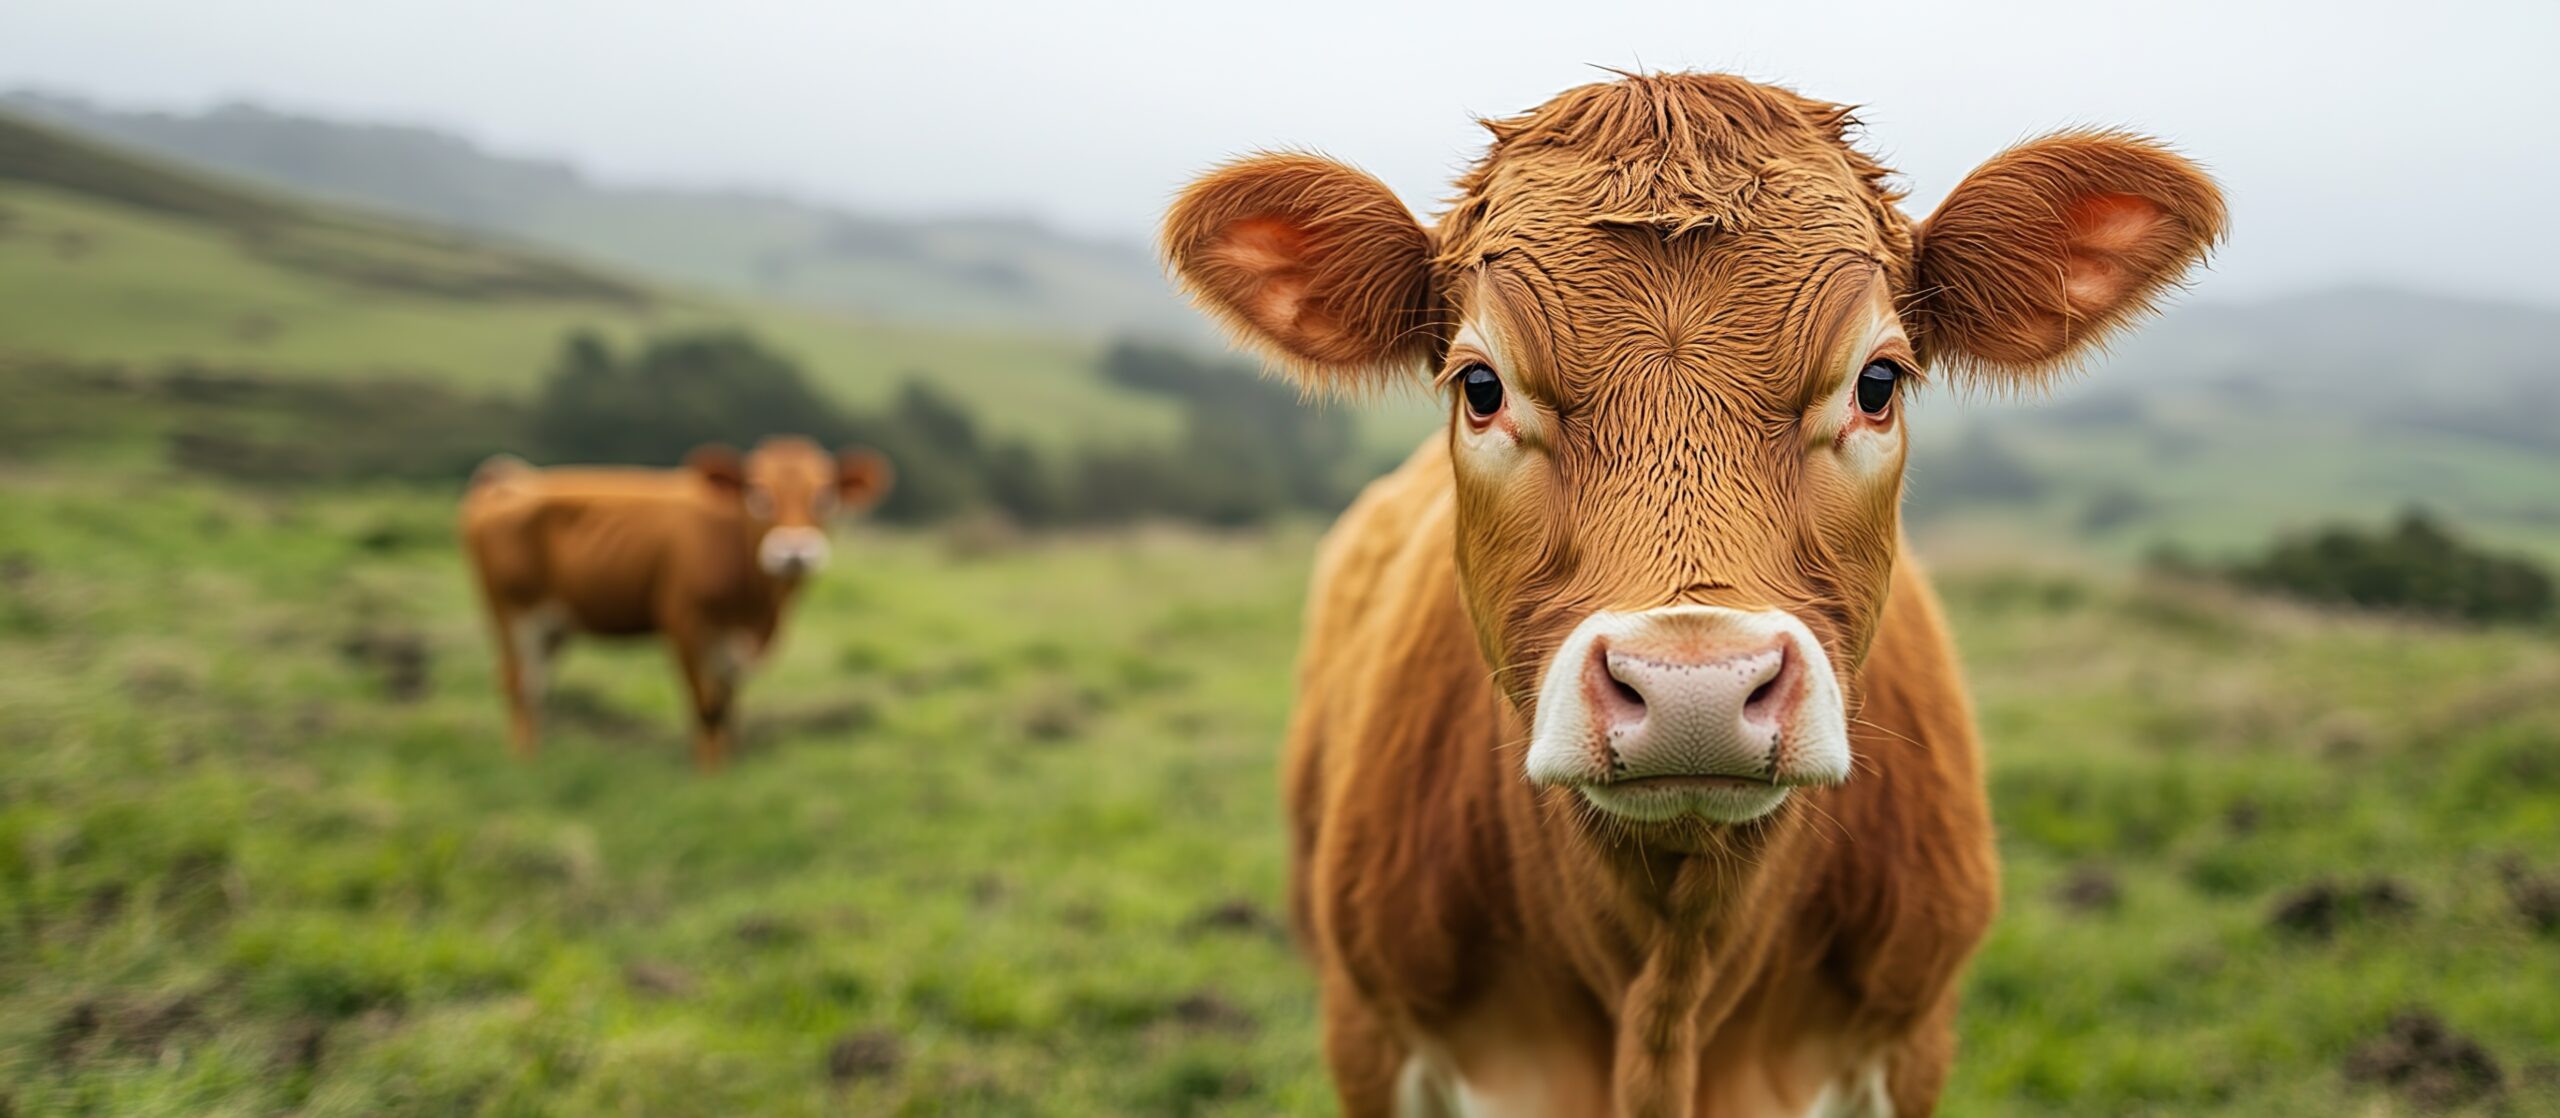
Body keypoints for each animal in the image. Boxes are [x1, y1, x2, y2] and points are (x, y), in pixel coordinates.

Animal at [458, 434, 890, 767]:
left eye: (824, 497)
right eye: (759, 494)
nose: (794, 552)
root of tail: (510, 480)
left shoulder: (735, 644)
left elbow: (727, 710)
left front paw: (725, 774)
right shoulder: (686, 625)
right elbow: (707, 710)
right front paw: (708, 782)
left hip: (554, 623)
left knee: (539, 687)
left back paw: (540, 756)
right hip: (513, 611)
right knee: (520, 683)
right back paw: (523, 764)